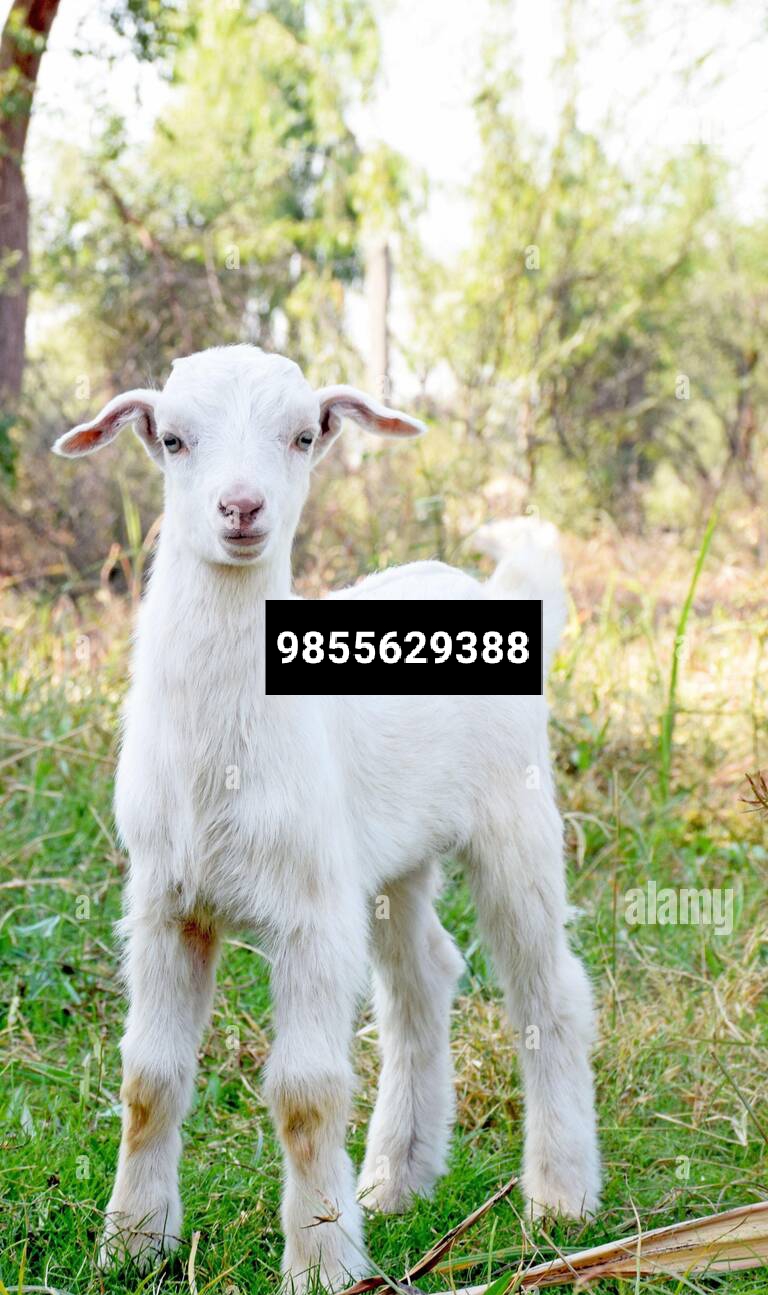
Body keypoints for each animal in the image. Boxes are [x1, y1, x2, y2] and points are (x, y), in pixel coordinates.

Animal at [53, 344, 600, 1292]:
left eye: (304, 434)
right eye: (172, 438)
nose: (242, 508)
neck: (224, 759)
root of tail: (475, 585)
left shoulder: (310, 912)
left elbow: (305, 1093)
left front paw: (322, 1260)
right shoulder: (164, 901)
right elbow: (148, 1077)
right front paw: (132, 1242)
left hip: (514, 814)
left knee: (548, 989)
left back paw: (561, 1194)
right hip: (388, 864)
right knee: (423, 977)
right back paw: (395, 1179)